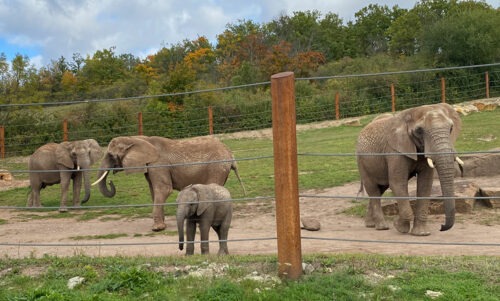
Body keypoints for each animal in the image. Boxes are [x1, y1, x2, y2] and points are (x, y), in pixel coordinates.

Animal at [93, 135, 245, 231]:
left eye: (111, 155)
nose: (111, 181)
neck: (139, 139)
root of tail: (230, 154)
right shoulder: (151, 167)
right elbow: (154, 191)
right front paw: (162, 224)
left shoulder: (158, 165)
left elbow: (163, 190)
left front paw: (157, 229)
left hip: (216, 167)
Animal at [358, 103, 462, 234]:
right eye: (419, 131)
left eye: (451, 128)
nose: (441, 227)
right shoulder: (394, 151)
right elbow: (397, 183)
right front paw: (399, 226)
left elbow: (425, 184)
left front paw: (421, 233)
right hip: (362, 162)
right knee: (373, 190)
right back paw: (382, 227)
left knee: (380, 189)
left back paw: (370, 224)